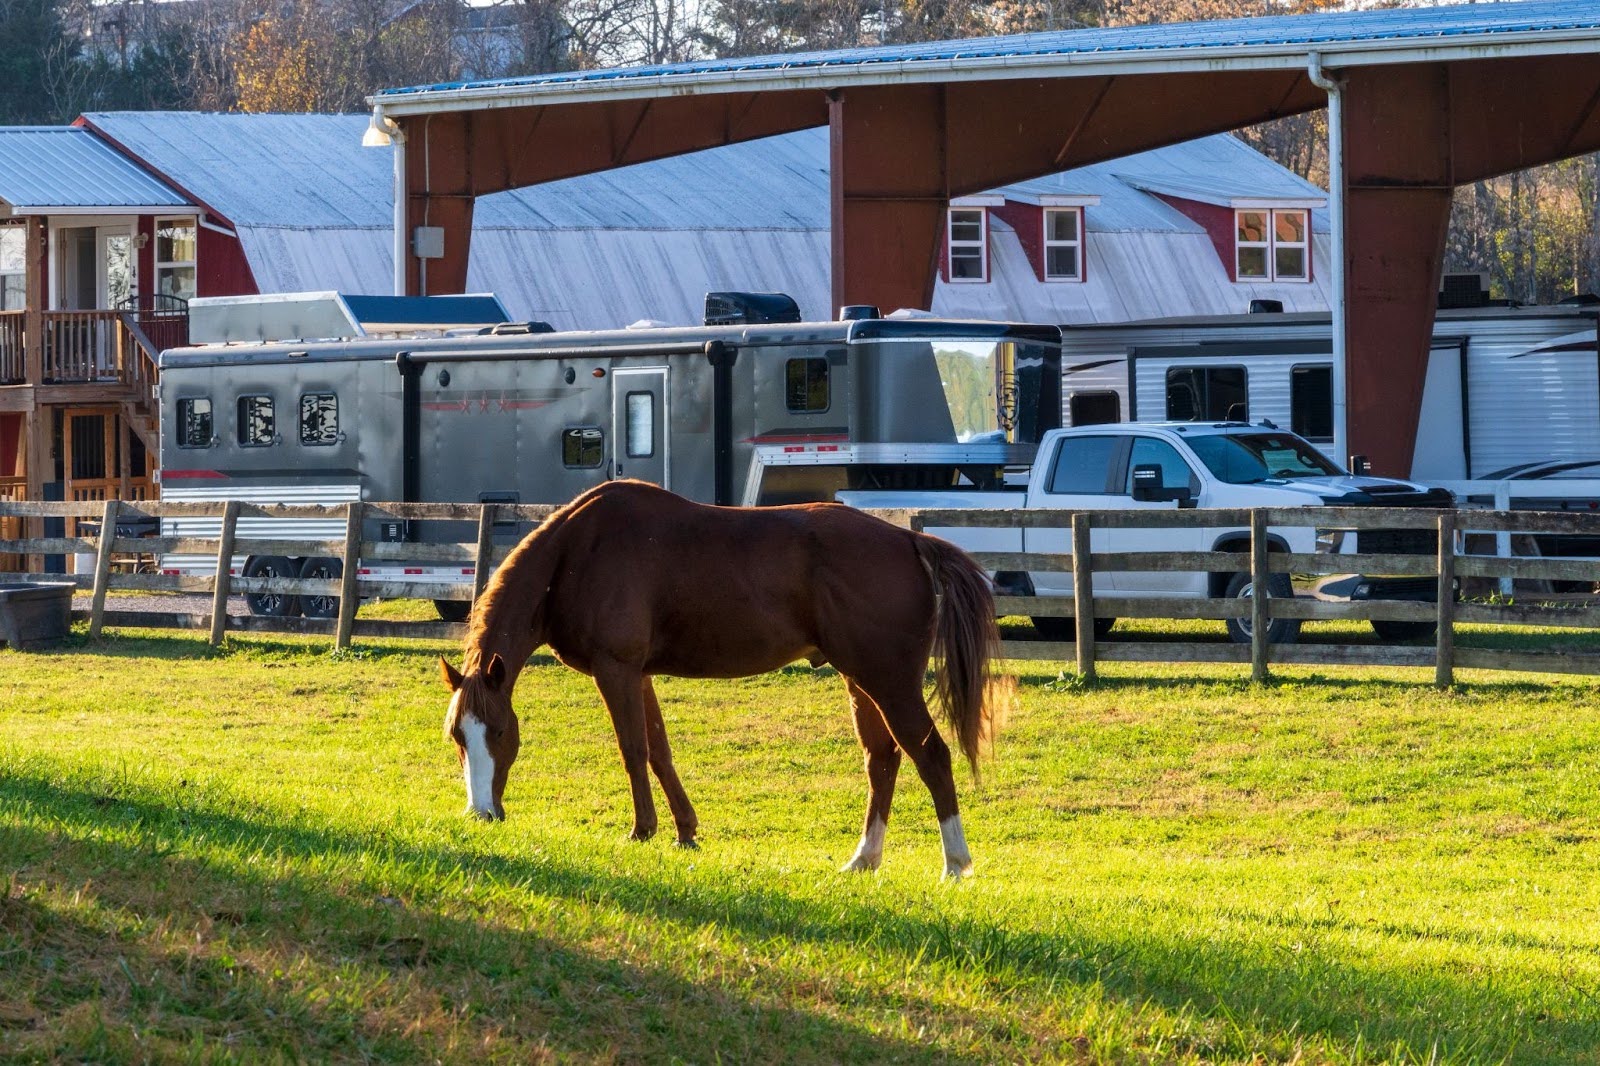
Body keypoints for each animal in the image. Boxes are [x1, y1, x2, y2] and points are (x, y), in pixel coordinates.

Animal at [437, 479, 1009, 878]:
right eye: (457, 737)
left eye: (500, 732)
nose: (481, 813)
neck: (578, 552)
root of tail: (909, 540)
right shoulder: (638, 674)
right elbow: (659, 751)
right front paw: (685, 831)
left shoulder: (615, 669)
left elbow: (633, 750)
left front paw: (642, 830)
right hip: (860, 681)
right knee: (883, 760)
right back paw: (864, 858)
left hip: (889, 682)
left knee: (931, 754)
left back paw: (955, 864)